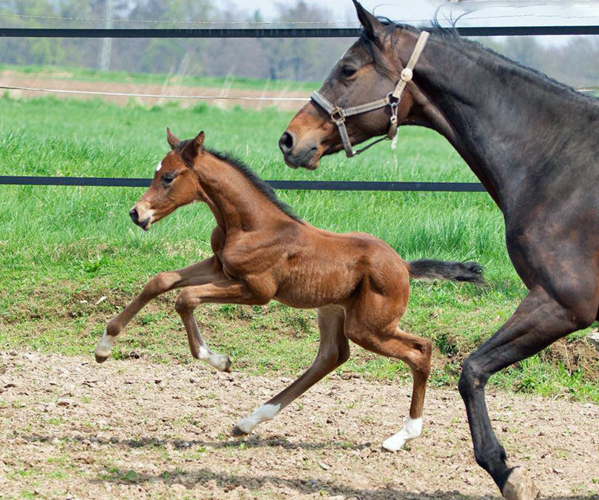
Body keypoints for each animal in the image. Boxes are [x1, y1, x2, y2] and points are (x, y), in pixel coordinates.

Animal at [96, 129, 486, 450]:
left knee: (421, 350)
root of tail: (403, 266)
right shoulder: (219, 268)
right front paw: (104, 345)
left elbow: (185, 298)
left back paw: (402, 436)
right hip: (334, 312)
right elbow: (161, 281)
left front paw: (219, 360)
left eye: (168, 176)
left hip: (369, 326)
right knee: (331, 357)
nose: (136, 213)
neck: (252, 225)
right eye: (156, 172)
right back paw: (248, 422)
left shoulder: (256, 290)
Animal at [282, 1, 599, 498]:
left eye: (348, 68)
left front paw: (505, 471)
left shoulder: (563, 303)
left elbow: (471, 370)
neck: (558, 162)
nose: (290, 139)